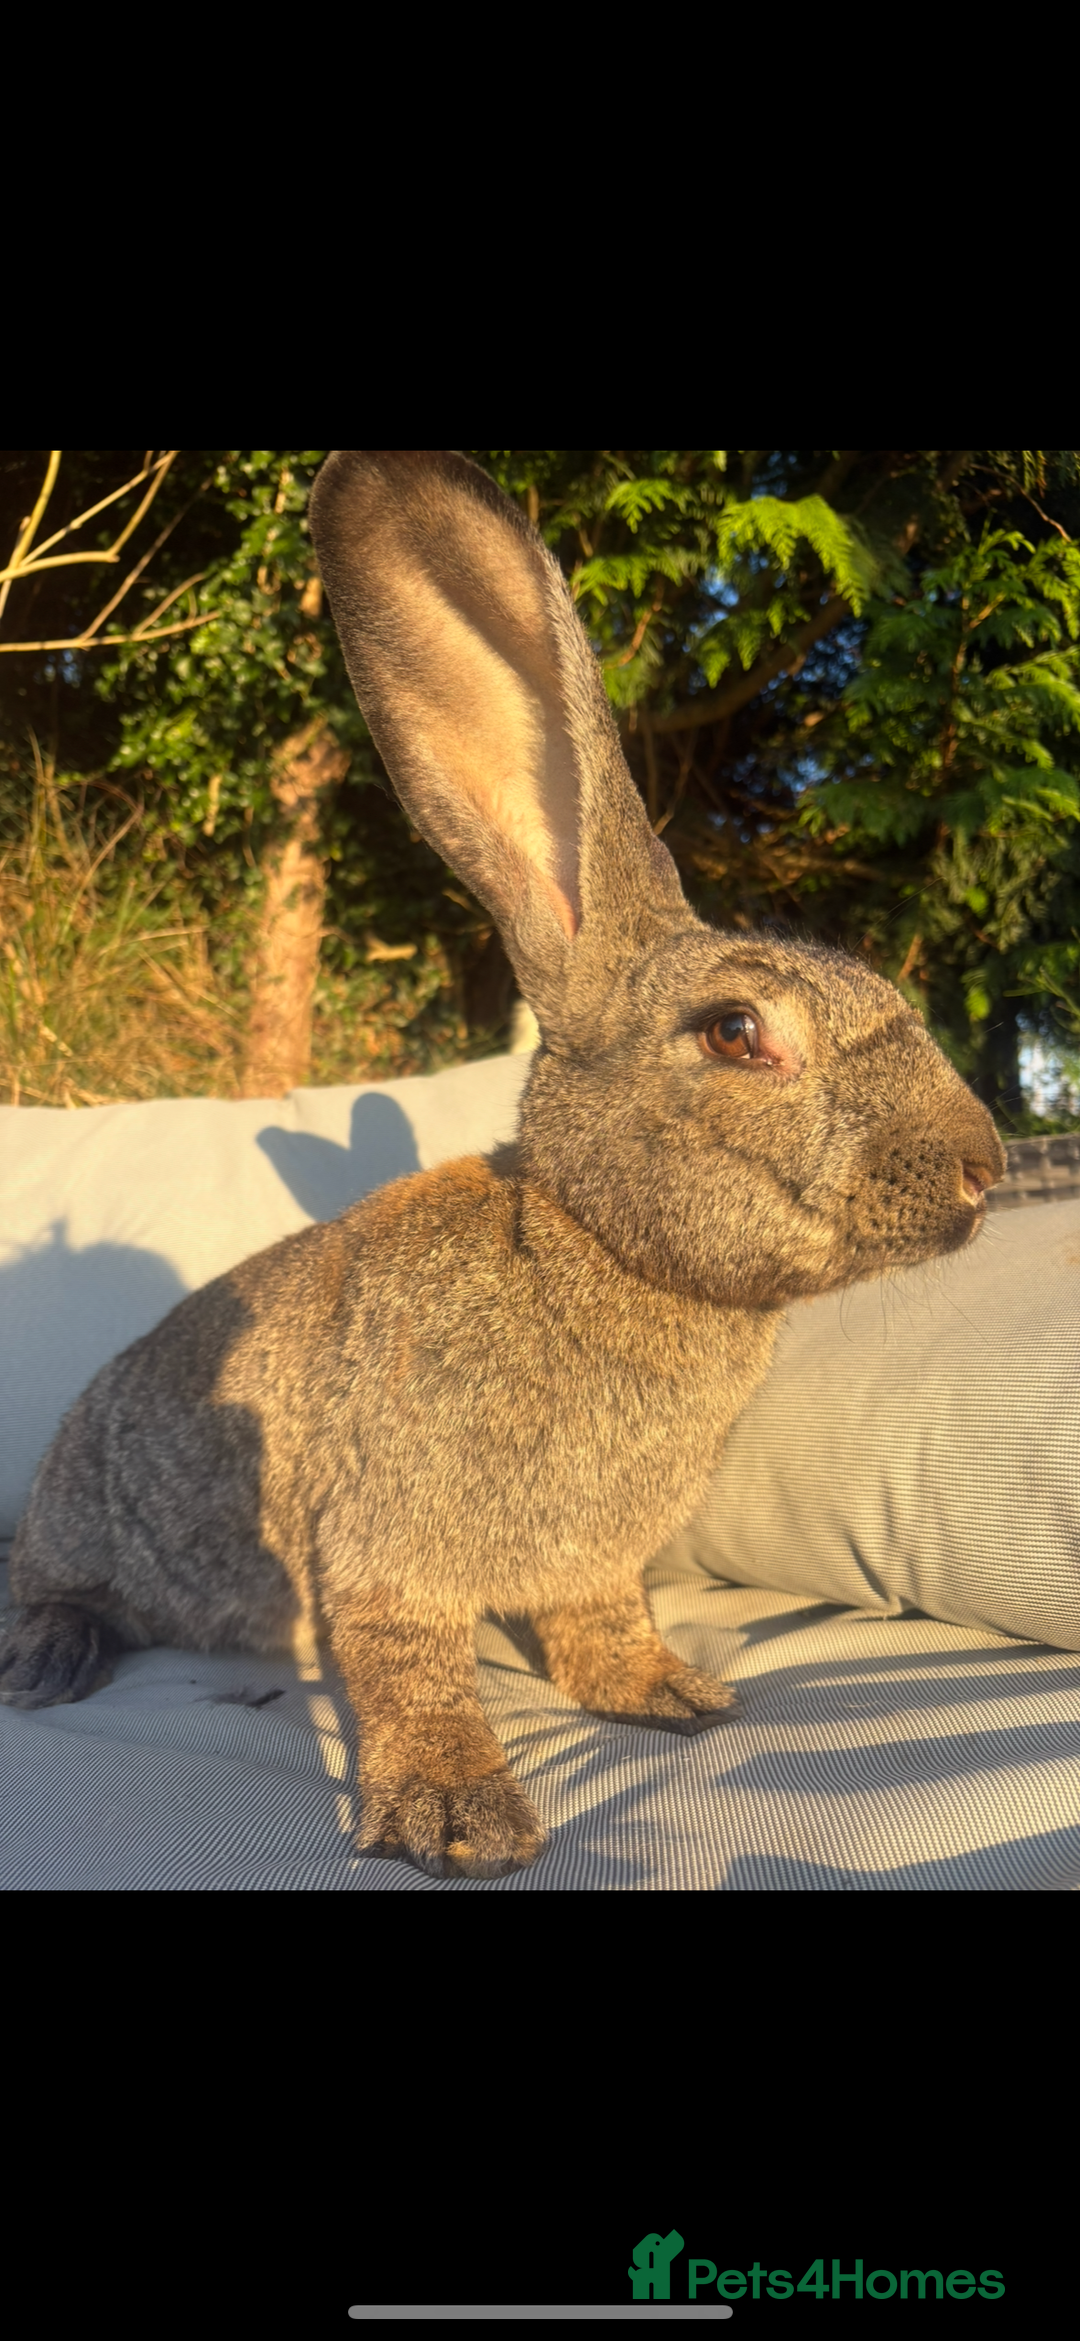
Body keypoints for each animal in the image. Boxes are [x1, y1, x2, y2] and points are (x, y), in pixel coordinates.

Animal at [0, 450, 1006, 1877]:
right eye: (737, 1033)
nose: (985, 1164)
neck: (593, 1247)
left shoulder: (594, 1563)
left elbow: (600, 1624)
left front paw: (668, 1694)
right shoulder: (387, 1543)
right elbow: (410, 1665)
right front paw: (455, 1815)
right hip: (86, 1514)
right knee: (58, 1587)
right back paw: (52, 1659)